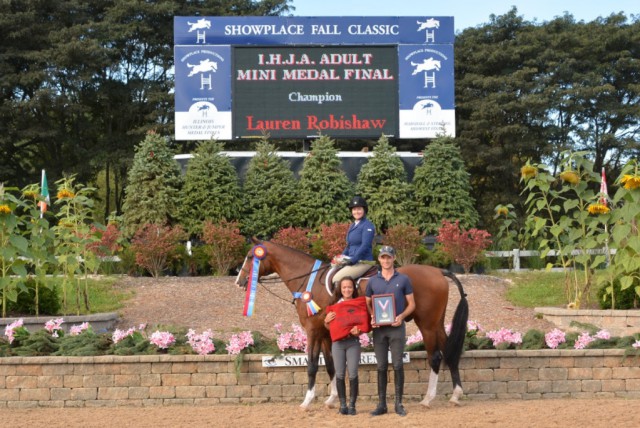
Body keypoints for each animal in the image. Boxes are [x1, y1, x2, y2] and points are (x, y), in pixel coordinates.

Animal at [238, 239, 468, 410]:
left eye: (251, 256)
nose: (239, 281)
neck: (308, 283)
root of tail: (438, 271)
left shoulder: (312, 331)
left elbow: (312, 365)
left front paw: (307, 401)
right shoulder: (325, 332)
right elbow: (331, 365)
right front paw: (331, 399)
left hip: (427, 325)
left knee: (435, 356)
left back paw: (428, 399)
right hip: (437, 323)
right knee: (449, 352)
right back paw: (456, 395)